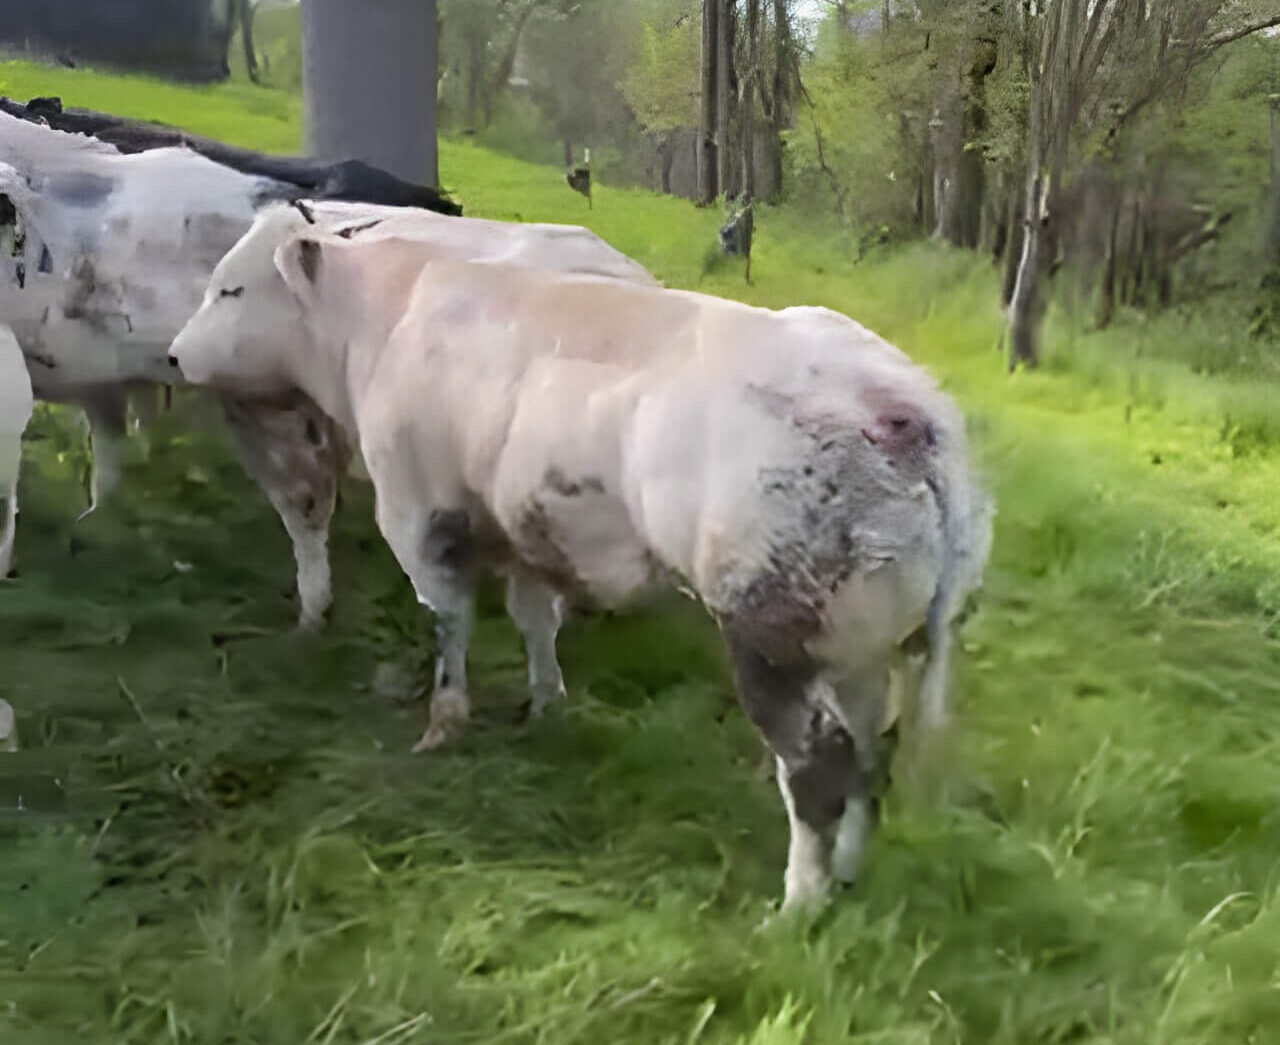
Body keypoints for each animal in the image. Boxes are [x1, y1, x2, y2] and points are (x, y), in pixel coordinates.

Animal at [169, 227, 993, 910]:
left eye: (232, 289)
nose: (175, 354)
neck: (384, 321)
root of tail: (908, 412)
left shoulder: (419, 511)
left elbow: (448, 622)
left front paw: (444, 722)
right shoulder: (525, 531)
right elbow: (535, 620)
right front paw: (545, 705)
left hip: (773, 635)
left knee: (817, 765)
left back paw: (799, 905)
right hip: (863, 645)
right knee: (872, 750)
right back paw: (847, 872)